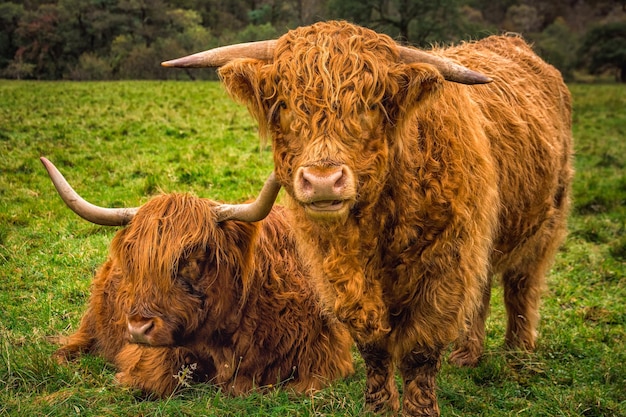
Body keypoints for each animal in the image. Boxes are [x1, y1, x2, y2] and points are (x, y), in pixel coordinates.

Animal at [41, 158, 354, 398]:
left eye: (192, 258)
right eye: (134, 261)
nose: (139, 328)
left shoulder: (325, 355)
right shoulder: (151, 352)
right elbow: (151, 380)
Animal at [161, 20, 572, 416]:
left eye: (371, 106)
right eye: (285, 106)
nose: (323, 180)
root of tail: (511, 43)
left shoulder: (445, 269)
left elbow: (420, 353)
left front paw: (419, 410)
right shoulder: (339, 276)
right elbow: (373, 347)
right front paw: (378, 405)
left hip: (545, 223)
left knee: (521, 286)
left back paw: (518, 354)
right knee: (484, 288)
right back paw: (467, 354)